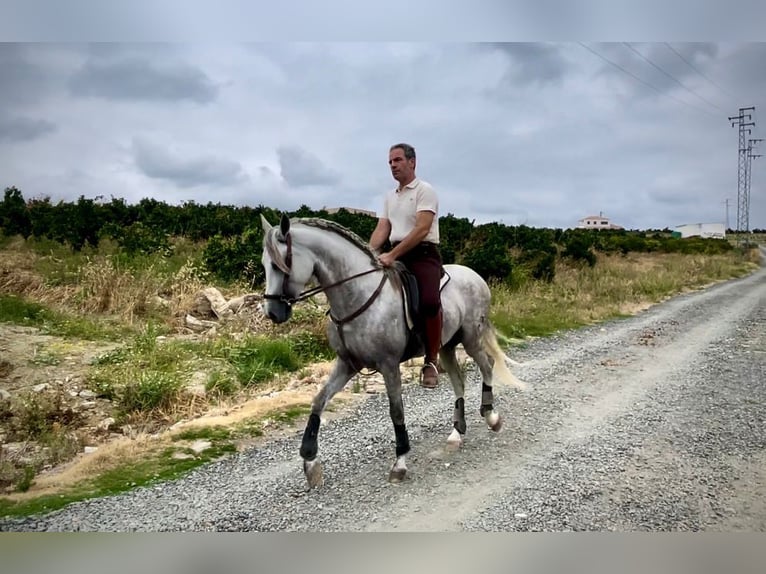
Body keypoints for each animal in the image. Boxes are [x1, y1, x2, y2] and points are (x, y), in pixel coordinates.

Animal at [260, 216, 524, 490]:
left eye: (280, 264)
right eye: (264, 265)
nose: (272, 313)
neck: (358, 295)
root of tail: (476, 276)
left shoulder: (388, 364)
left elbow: (396, 411)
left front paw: (400, 462)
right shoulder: (346, 364)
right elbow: (318, 401)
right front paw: (310, 461)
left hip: (471, 338)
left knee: (487, 366)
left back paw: (492, 416)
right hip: (447, 347)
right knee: (459, 382)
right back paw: (456, 433)